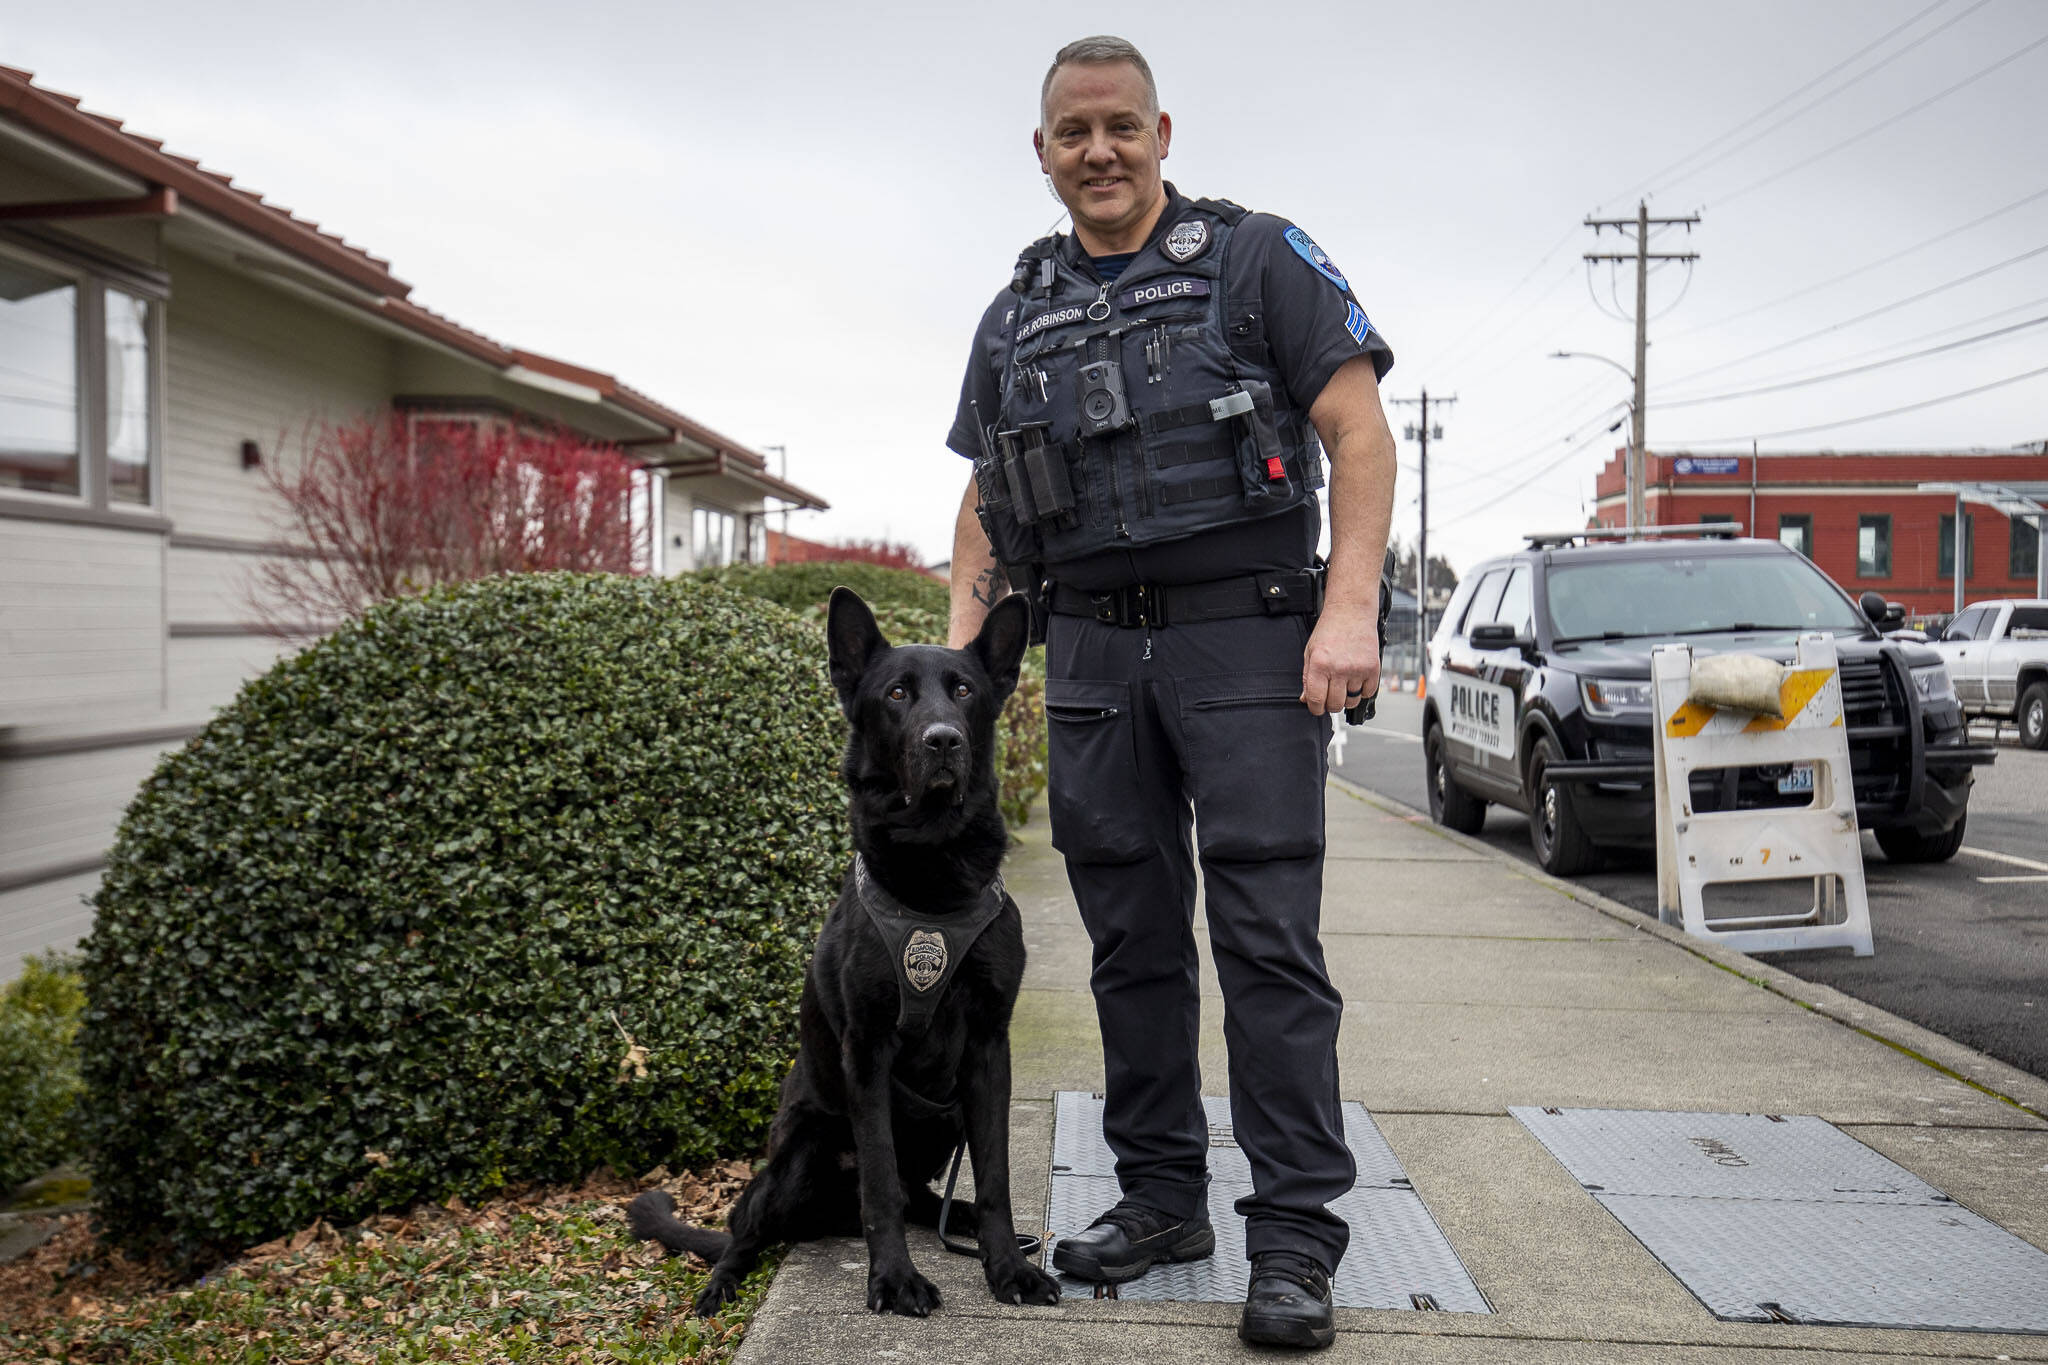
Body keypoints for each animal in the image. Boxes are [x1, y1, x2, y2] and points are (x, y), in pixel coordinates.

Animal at [626, 593, 1064, 1317]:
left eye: (964, 692)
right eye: (896, 694)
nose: (943, 739)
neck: (932, 875)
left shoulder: (988, 1049)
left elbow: (995, 1174)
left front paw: (1008, 1268)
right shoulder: (867, 1051)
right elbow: (879, 1185)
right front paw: (893, 1279)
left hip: (945, 1117)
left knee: (919, 1196)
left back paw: (958, 1217)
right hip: (801, 1151)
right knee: (748, 1227)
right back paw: (721, 1286)